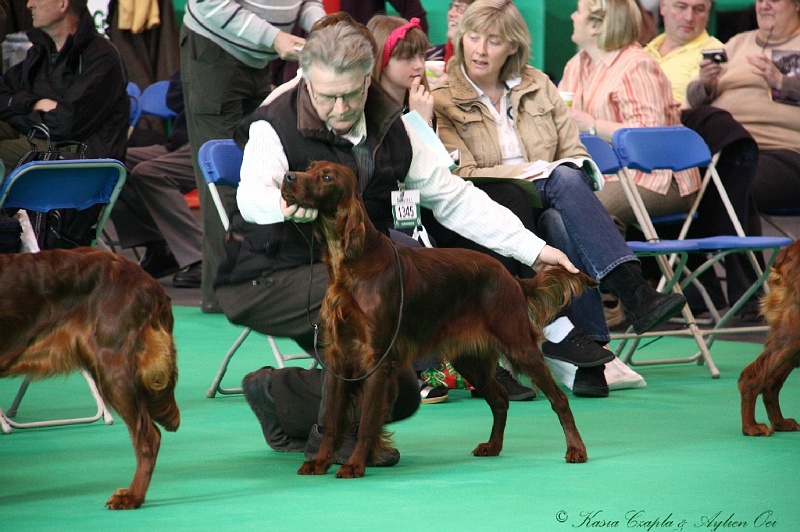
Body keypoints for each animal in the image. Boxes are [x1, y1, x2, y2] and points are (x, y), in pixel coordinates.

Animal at [278, 161, 596, 478]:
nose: (287, 177)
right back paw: (493, 446)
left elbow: (367, 420)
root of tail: (510, 277)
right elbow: (332, 418)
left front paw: (355, 464)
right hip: (470, 359)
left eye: (327, 177)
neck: (353, 265)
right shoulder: (338, 356)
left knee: (558, 399)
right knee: (500, 399)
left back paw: (576, 449)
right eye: (309, 167)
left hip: (518, 345)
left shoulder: (376, 358)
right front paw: (321, 461)